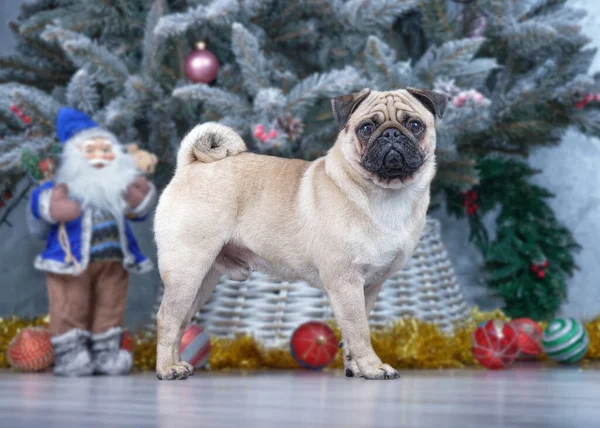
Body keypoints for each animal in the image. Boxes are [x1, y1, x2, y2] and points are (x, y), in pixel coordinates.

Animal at [155, 88, 446, 382]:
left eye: (415, 125)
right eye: (366, 128)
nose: (391, 134)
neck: (387, 195)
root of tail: (189, 165)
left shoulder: (369, 286)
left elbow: (353, 333)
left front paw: (355, 368)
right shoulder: (346, 281)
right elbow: (360, 331)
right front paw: (373, 367)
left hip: (203, 279)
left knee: (182, 320)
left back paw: (178, 364)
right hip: (187, 268)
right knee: (167, 317)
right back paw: (166, 369)